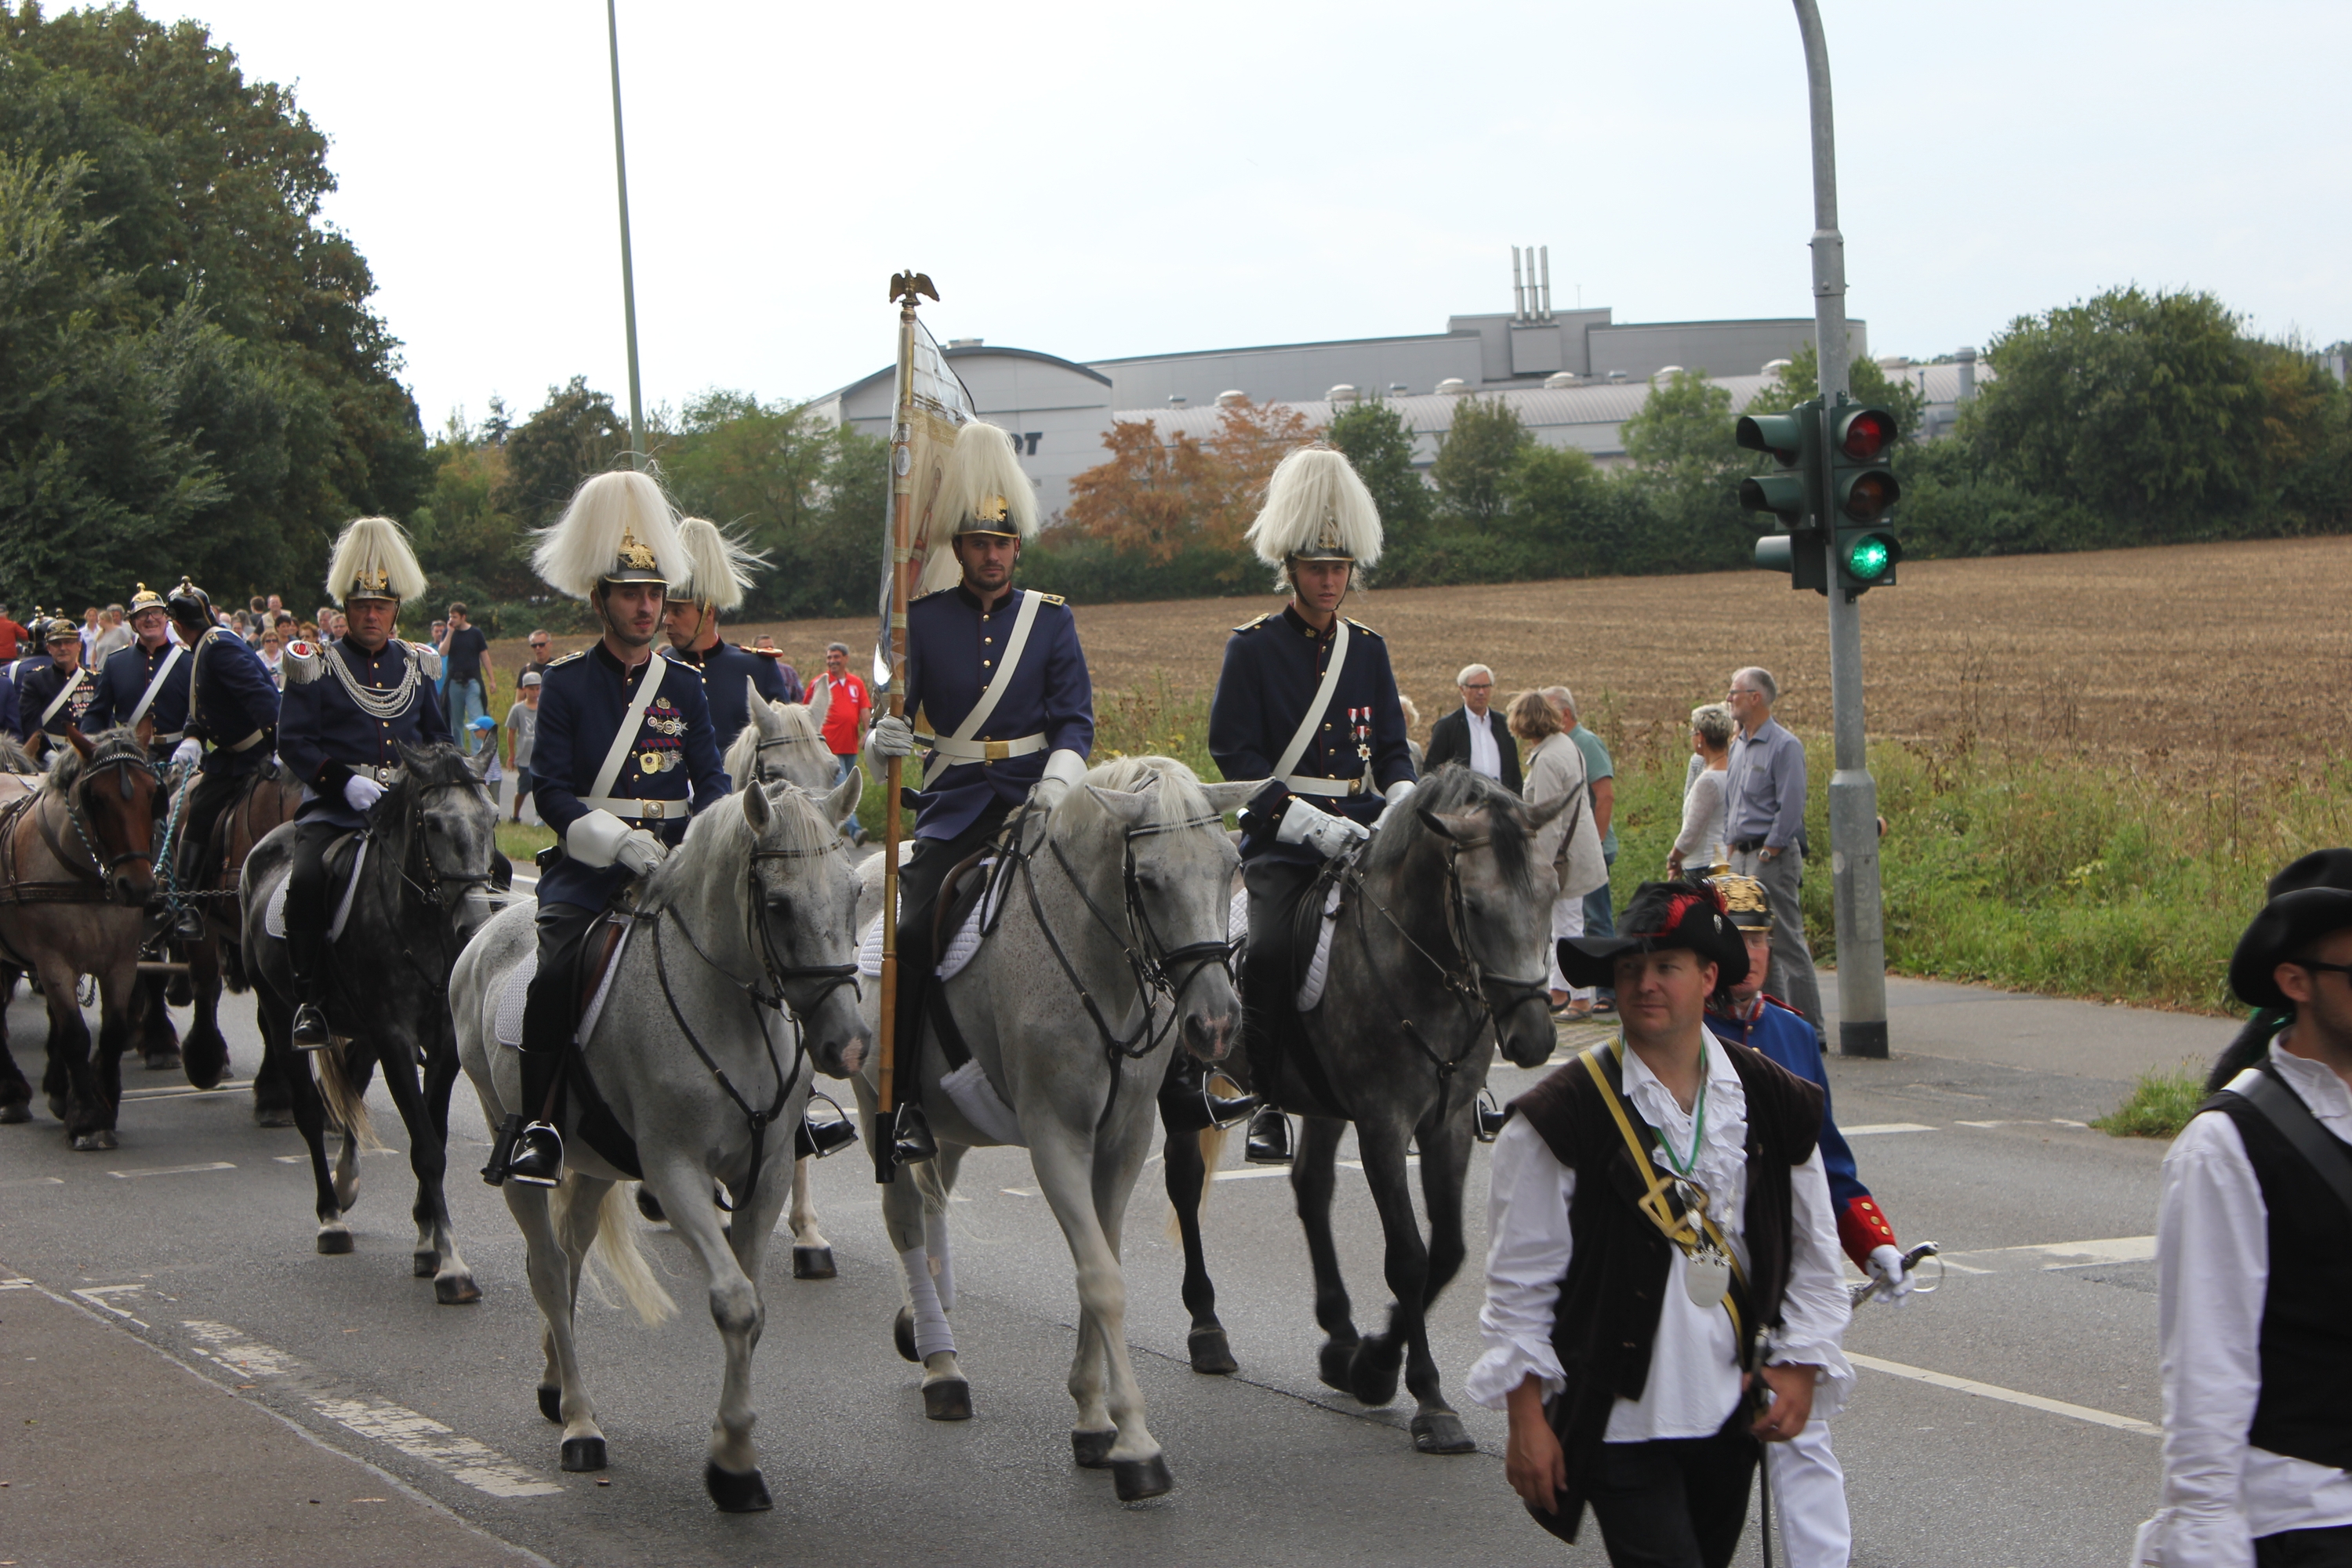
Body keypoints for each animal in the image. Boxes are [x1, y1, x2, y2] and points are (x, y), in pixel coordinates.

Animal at [0, 726, 168, 1149]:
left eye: (151, 793)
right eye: (97, 798)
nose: (139, 887)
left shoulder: (120, 962)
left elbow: (112, 1033)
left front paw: (98, 1100)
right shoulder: (53, 961)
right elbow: (75, 1034)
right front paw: (88, 1119)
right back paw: (11, 1093)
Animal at [240, 743, 506, 1302]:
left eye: (493, 818)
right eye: (433, 823)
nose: (475, 924)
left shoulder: (442, 1044)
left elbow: (435, 1134)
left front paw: (427, 1240)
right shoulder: (395, 1039)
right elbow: (426, 1148)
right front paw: (451, 1264)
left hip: (357, 1030)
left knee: (352, 1091)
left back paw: (346, 1181)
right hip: (278, 1010)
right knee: (308, 1110)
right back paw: (330, 1217)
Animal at [451, 769, 867, 1509]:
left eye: (856, 893)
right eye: (779, 905)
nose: (844, 1047)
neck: (730, 1010)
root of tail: (491, 927)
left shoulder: (765, 1176)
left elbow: (754, 1306)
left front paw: (736, 1455)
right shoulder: (676, 1174)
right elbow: (734, 1302)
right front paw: (732, 1464)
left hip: (592, 1163)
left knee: (572, 1252)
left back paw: (557, 1383)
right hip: (512, 1139)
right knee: (549, 1269)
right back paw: (580, 1423)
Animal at [850, 756, 1254, 1502]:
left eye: (1231, 863)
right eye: (1148, 881)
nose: (1215, 1025)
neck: (1097, 965)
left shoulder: (1123, 1142)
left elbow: (1103, 1261)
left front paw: (1094, 1419)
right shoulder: (1055, 1138)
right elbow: (1102, 1279)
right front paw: (1136, 1444)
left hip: (948, 1120)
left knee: (935, 1197)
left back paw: (927, 1324)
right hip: (874, 1102)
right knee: (905, 1218)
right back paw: (941, 1366)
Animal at [1162, 764, 1566, 1454]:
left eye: (1548, 896)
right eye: (1476, 906)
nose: (1534, 1039)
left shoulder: (1448, 1125)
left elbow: (1450, 1252)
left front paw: (1370, 1361)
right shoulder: (1383, 1124)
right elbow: (1409, 1258)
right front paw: (1422, 1396)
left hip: (1324, 1101)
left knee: (1311, 1185)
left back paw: (1339, 1335)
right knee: (1186, 1185)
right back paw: (1207, 1326)